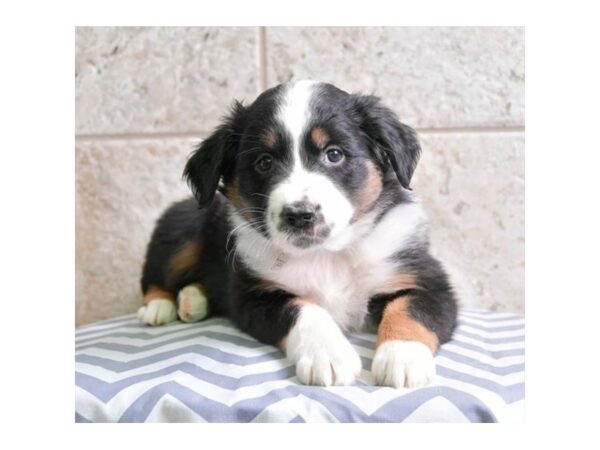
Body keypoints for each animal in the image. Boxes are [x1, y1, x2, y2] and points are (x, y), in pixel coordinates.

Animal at [138, 81, 458, 390]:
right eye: (264, 162)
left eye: (334, 154)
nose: (300, 215)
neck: (325, 255)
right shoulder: (253, 294)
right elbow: (303, 309)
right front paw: (329, 355)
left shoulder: (426, 279)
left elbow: (410, 310)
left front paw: (402, 358)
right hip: (181, 227)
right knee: (154, 275)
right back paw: (159, 307)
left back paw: (192, 300)